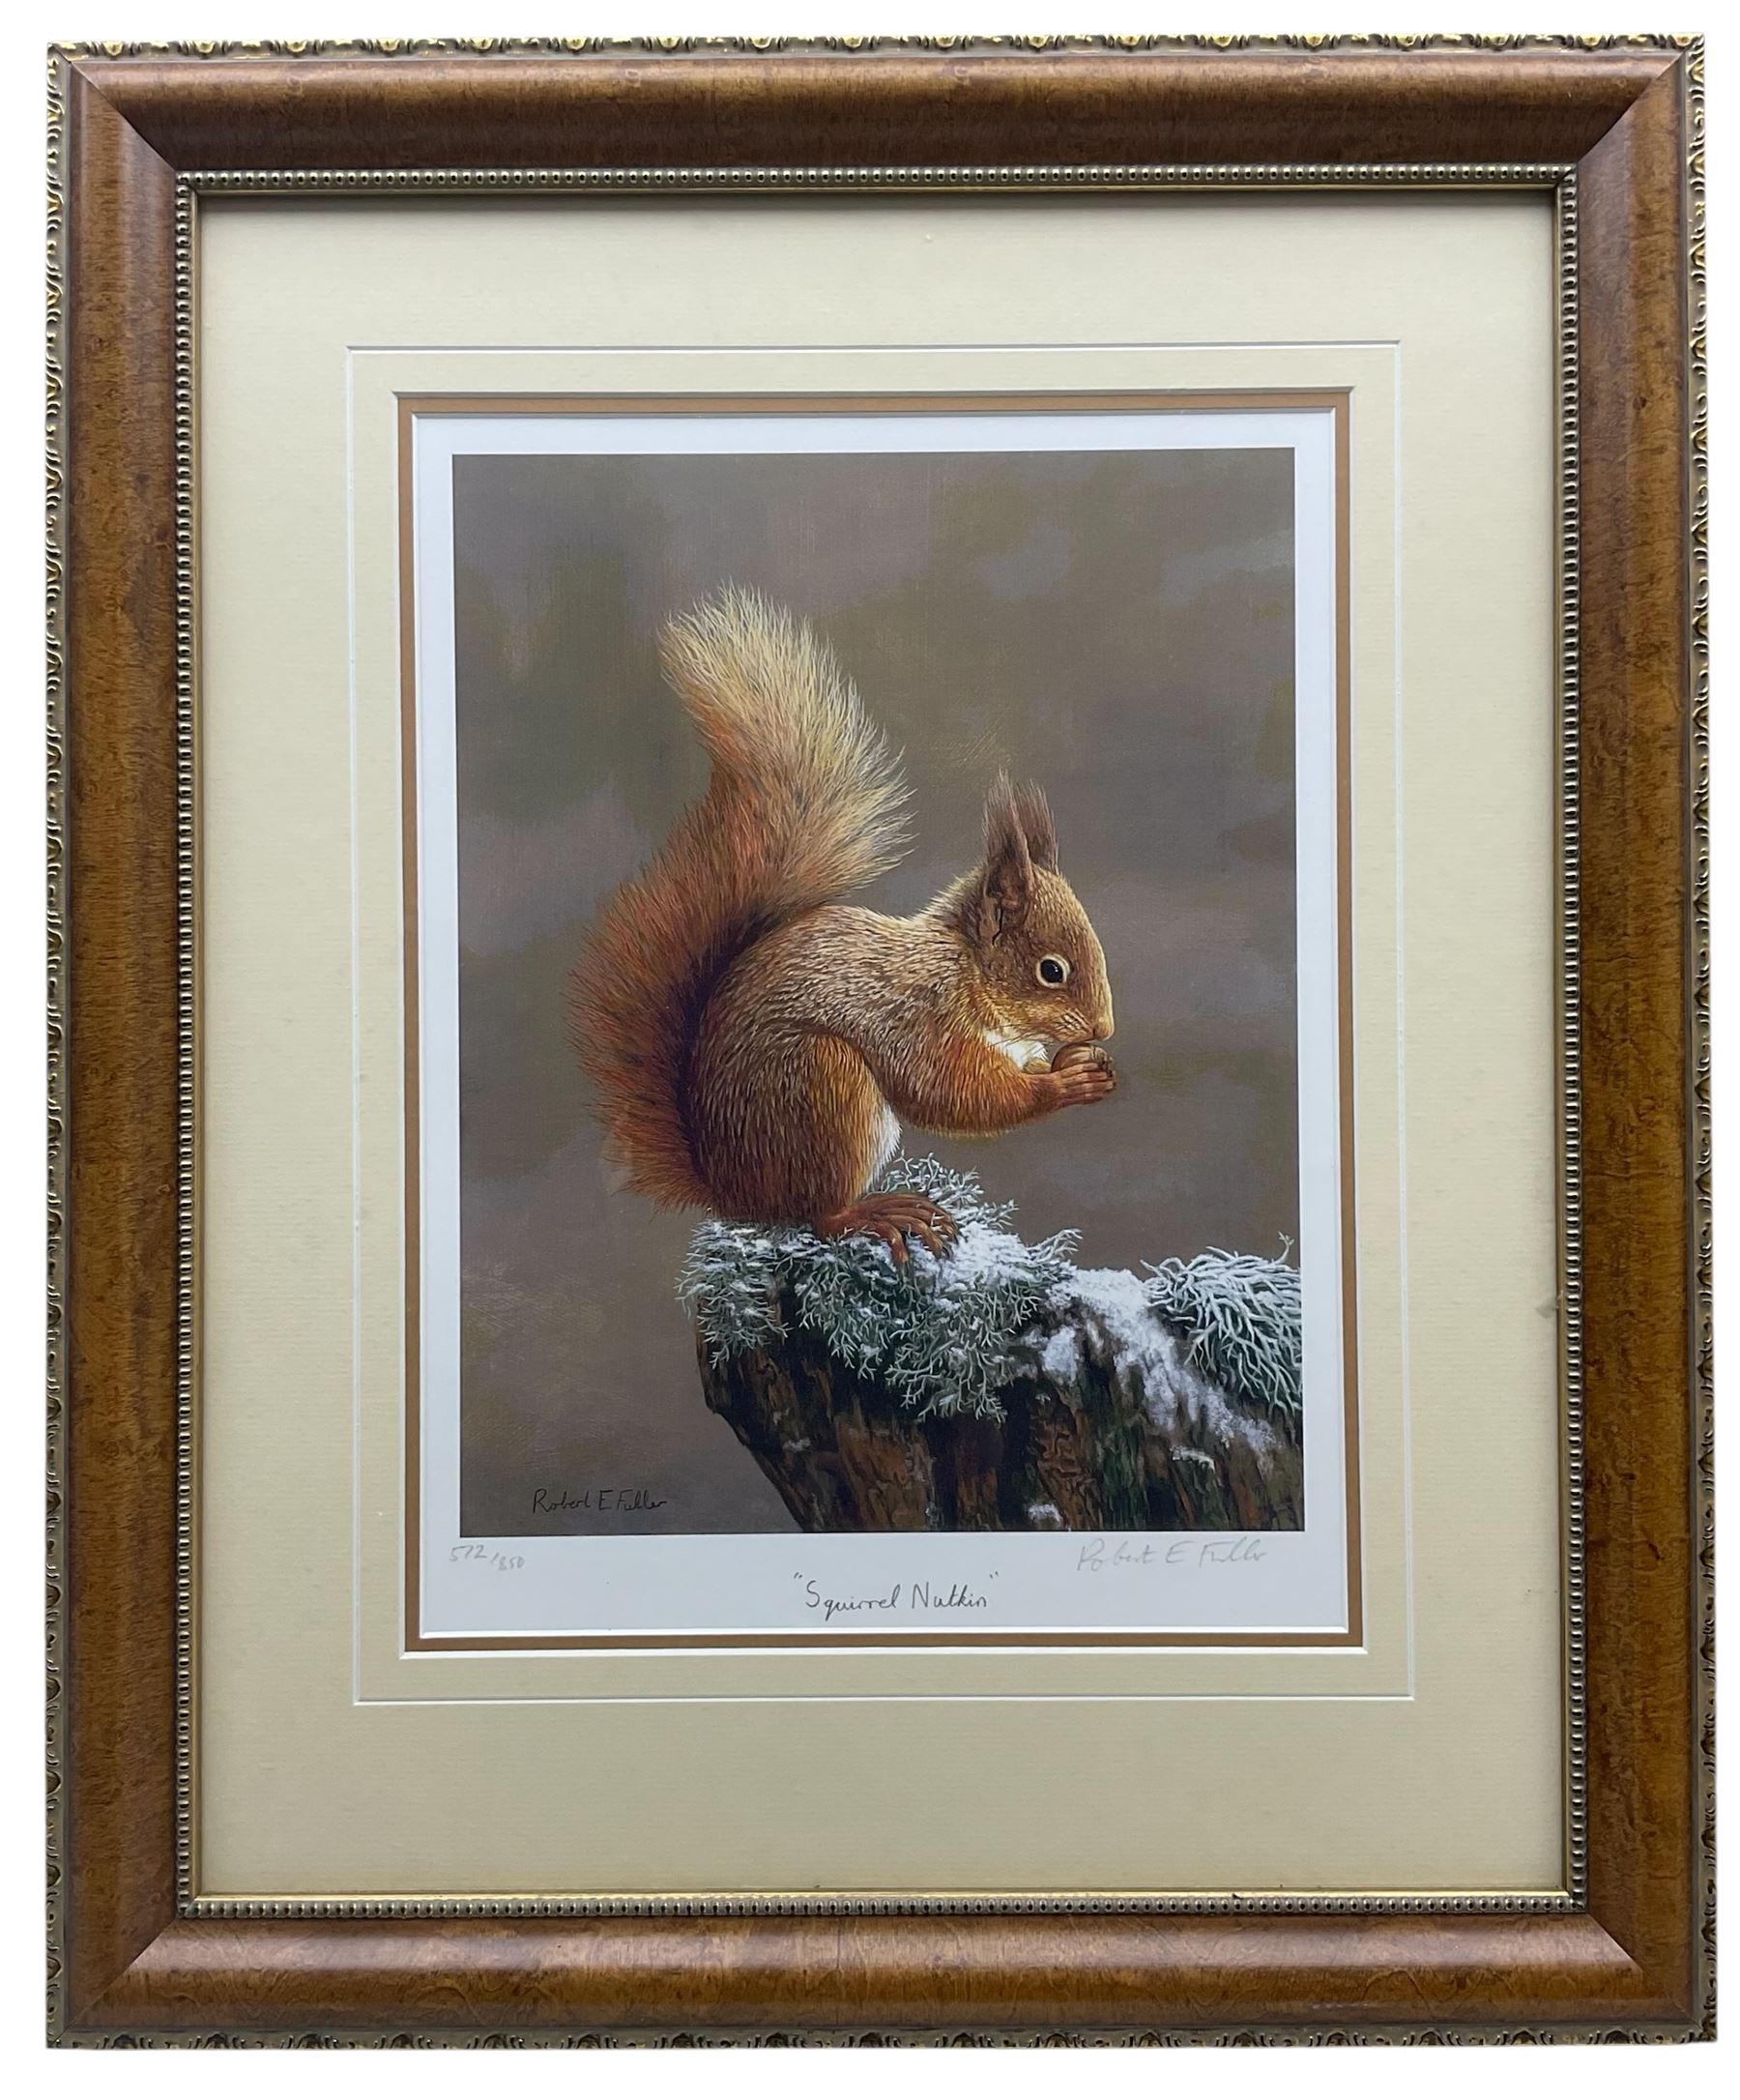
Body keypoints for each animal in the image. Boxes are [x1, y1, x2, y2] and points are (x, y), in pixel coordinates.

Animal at [568, 588, 1116, 1263]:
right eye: (1051, 970)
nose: (1105, 1028)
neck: (964, 972)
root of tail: (731, 1194)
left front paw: (1081, 1063)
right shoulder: (916, 1016)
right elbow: (953, 1093)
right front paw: (1066, 1085)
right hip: (822, 1089)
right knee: (816, 1214)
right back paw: (876, 1212)